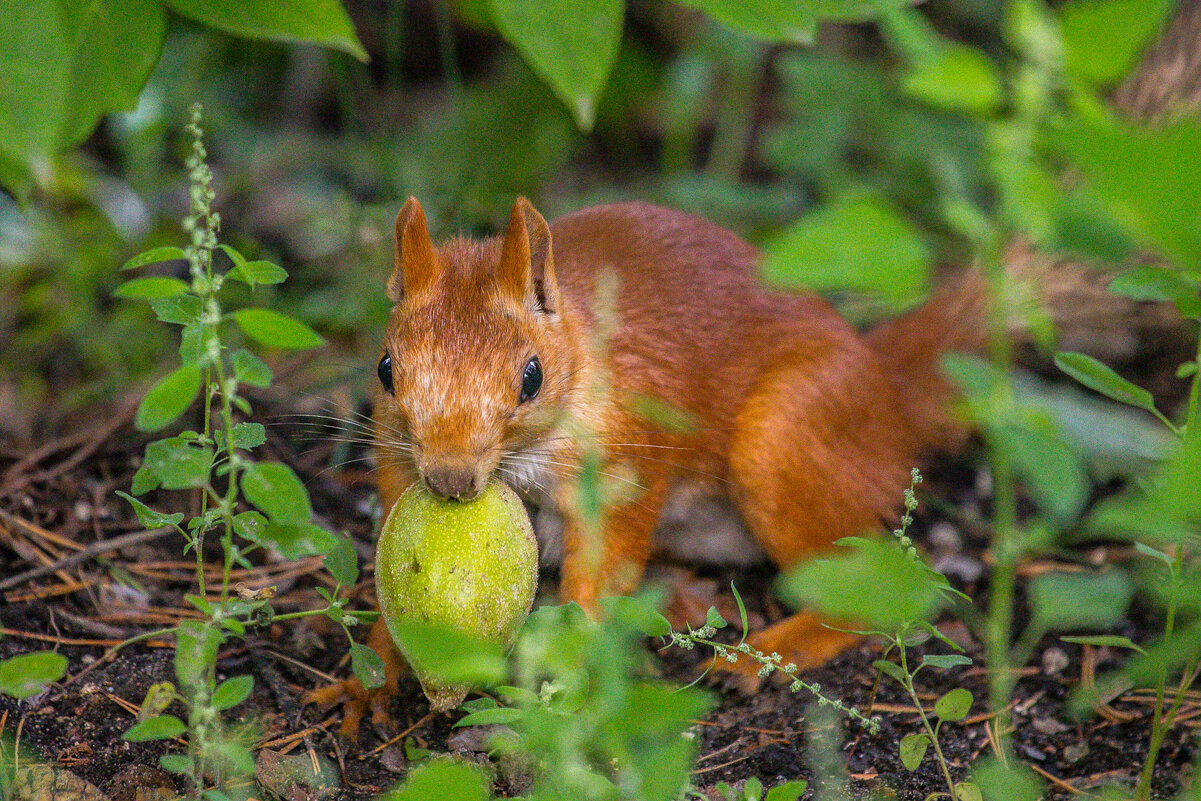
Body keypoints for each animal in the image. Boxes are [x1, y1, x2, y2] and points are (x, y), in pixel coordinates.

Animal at [307, 196, 994, 734]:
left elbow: (601, 569)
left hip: (781, 440)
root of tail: (889, 404)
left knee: (868, 590)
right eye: (386, 369)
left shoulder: (623, 465)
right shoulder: (398, 462)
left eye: (531, 377)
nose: (451, 481)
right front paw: (368, 681)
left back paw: (756, 658)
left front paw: (567, 667)